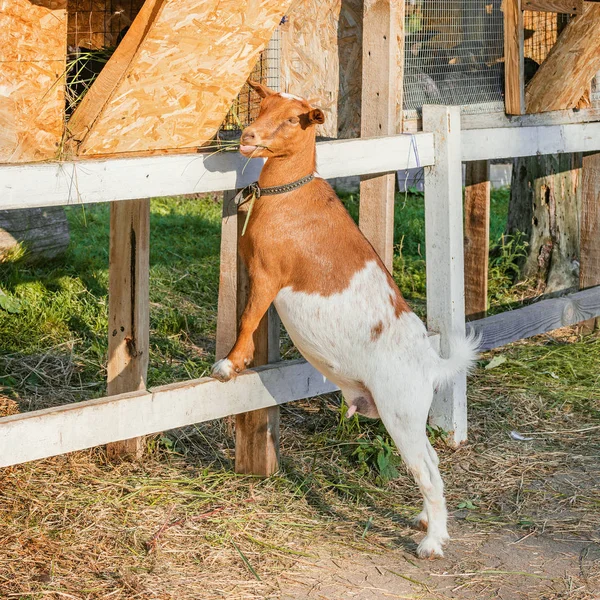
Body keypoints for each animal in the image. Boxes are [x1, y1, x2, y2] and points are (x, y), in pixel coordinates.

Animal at [212, 79, 478, 556]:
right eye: (261, 106)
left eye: (291, 119)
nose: (247, 137)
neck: (291, 195)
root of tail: (433, 363)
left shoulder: (269, 274)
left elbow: (248, 318)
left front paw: (229, 364)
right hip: (409, 413)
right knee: (432, 461)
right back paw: (428, 522)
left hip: (400, 409)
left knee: (426, 471)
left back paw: (432, 542)